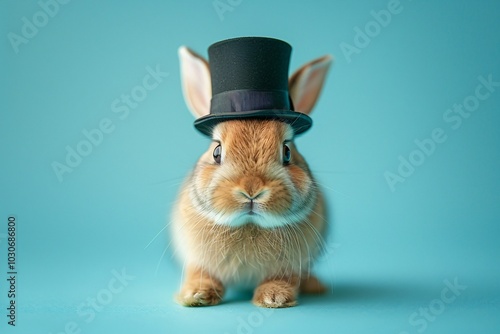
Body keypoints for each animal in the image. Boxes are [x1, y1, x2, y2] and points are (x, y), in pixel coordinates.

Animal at [172, 37, 332, 308]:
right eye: (216, 152)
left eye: (287, 152)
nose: (251, 189)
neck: (250, 225)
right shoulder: (196, 256)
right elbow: (201, 273)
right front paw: (196, 295)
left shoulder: (291, 266)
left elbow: (284, 278)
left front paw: (274, 297)